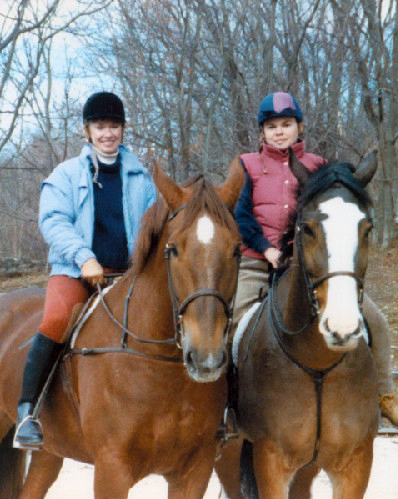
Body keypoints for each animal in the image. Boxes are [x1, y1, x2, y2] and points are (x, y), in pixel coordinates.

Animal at [0, 161, 243, 499]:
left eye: (236, 250)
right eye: (173, 249)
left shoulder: (195, 470)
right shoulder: (111, 469)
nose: (205, 359)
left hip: (50, 452)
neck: (158, 369)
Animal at [216, 152, 380, 499]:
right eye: (307, 228)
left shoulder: (356, 464)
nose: (342, 328)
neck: (318, 363)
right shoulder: (271, 462)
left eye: (367, 228)